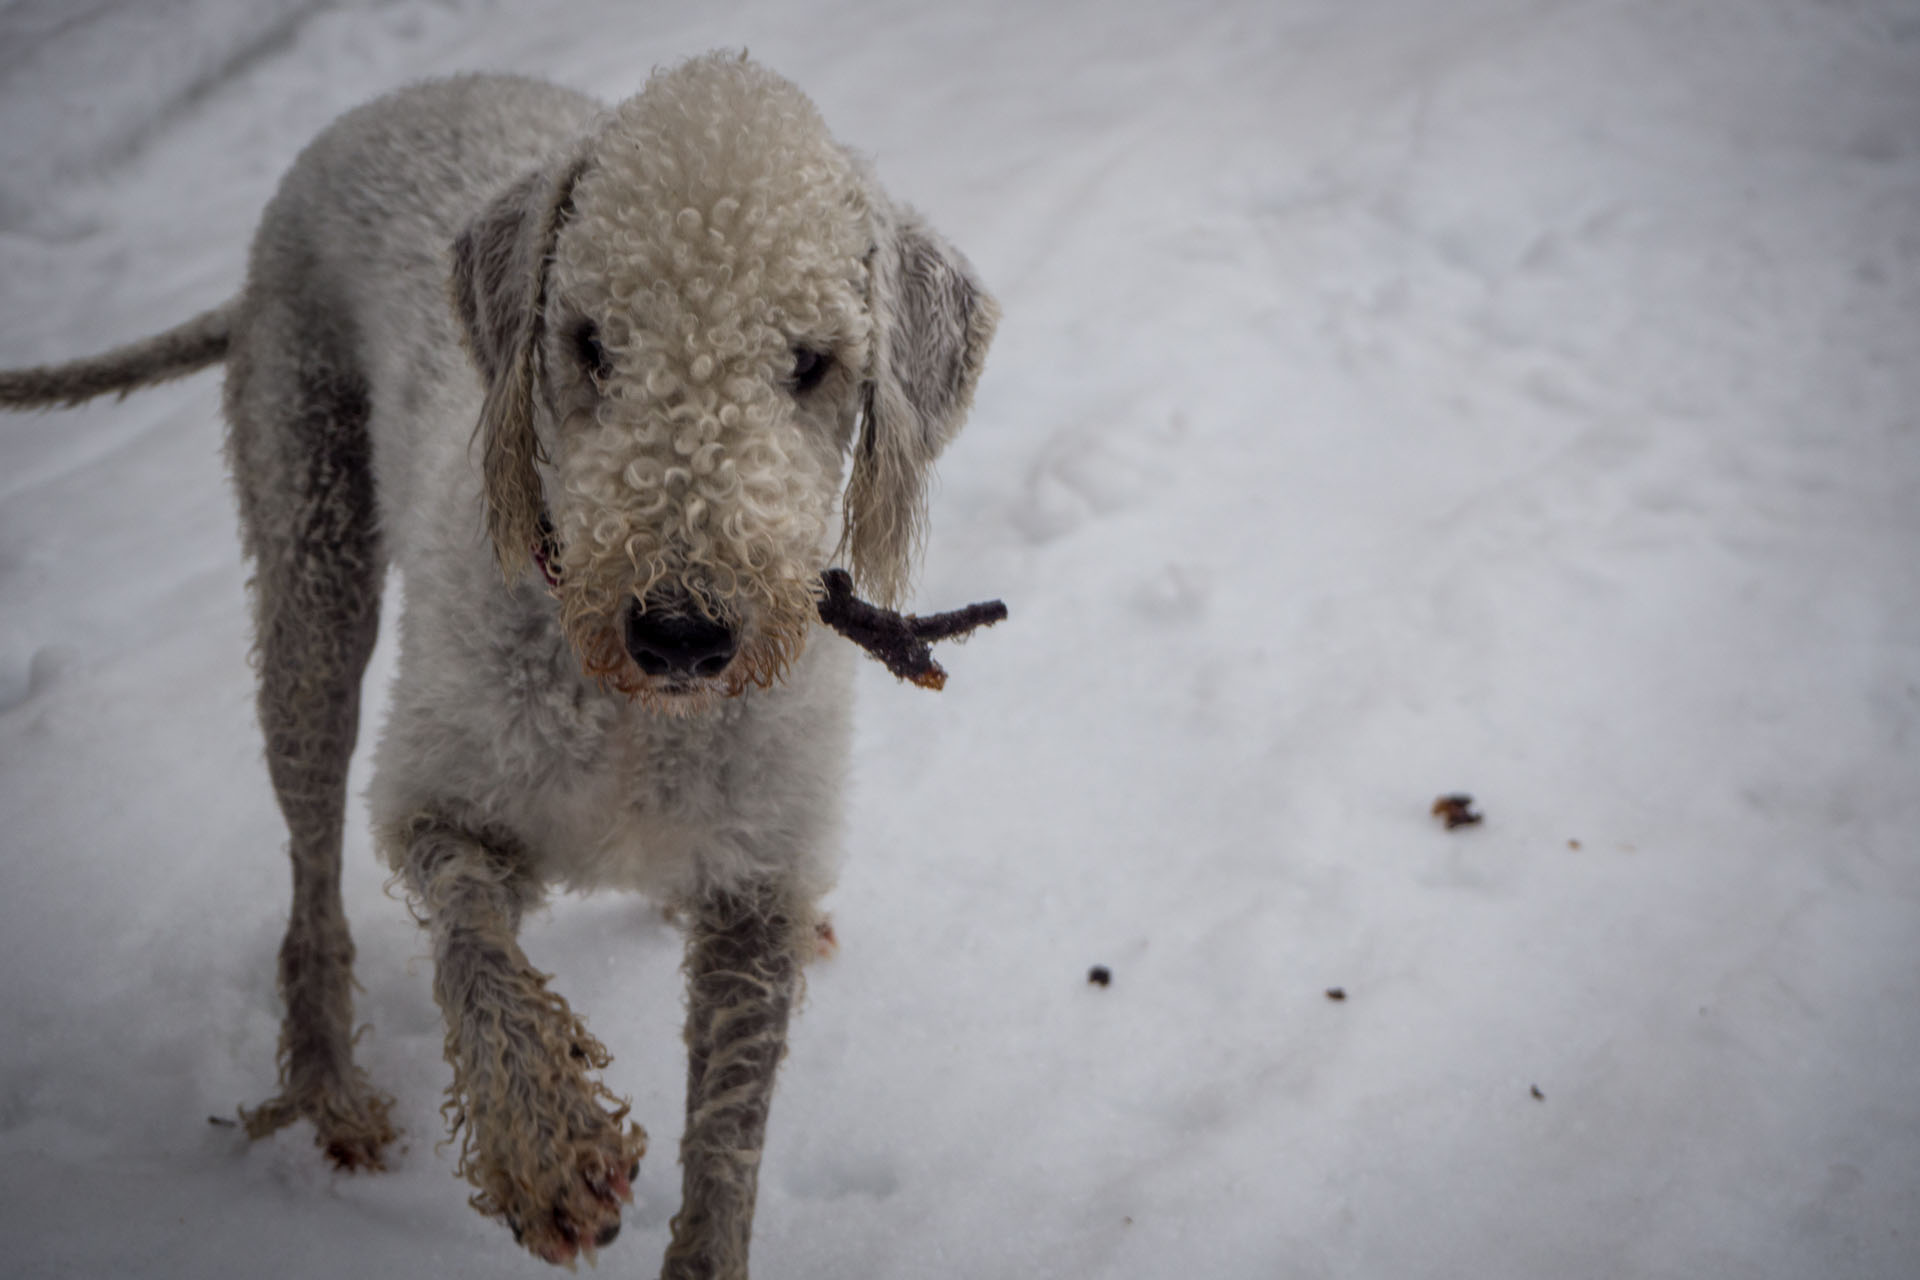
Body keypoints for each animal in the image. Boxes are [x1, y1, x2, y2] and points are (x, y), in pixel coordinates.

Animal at [3, 52, 1006, 1280]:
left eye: (811, 363)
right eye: (590, 342)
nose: (680, 629)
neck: (631, 714)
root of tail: (387, 104)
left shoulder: (760, 883)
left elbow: (730, 1138)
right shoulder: (450, 795)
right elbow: (473, 943)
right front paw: (550, 1150)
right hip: (310, 541)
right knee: (311, 860)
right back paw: (331, 1089)